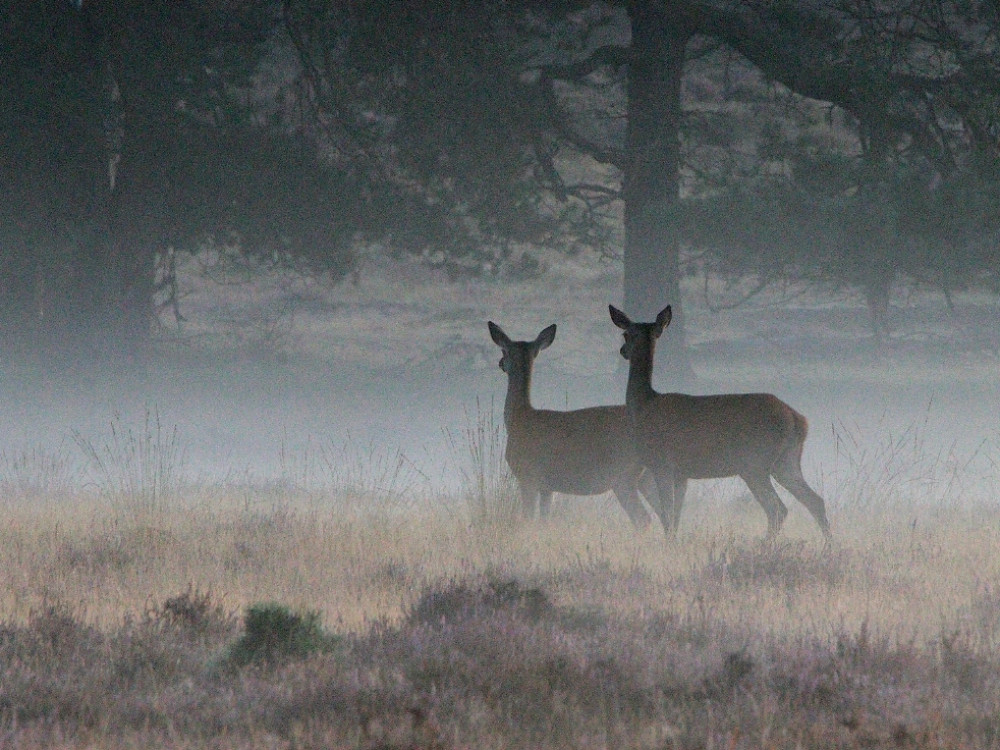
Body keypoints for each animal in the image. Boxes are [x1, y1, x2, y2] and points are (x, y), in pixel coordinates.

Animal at [486, 322, 656, 528]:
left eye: (504, 350)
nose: (500, 363)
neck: (519, 418)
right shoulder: (547, 487)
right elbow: (545, 519)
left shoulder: (528, 476)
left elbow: (529, 517)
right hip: (647, 477)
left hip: (624, 476)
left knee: (643, 518)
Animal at [604, 304, 832, 540]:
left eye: (625, 334)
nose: (623, 351)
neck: (644, 405)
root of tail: (798, 420)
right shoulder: (681, 473)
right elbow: (675, 516)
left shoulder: (662, 462)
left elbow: (667, 514)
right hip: (786, 461)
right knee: (815, 501)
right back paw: (828, 544)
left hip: (755, 462)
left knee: (778, 509)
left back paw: (766, 544)